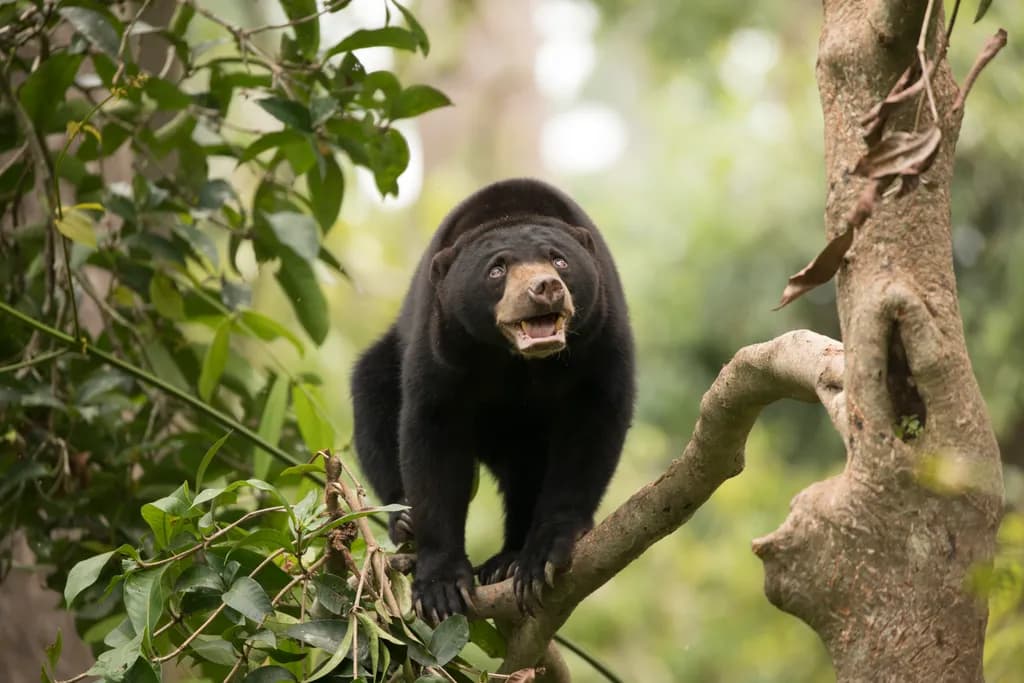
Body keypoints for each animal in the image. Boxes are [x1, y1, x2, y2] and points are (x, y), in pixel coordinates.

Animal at [350, 178, 635, 622]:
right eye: (496, 270)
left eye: (559, 261)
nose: (545, 288)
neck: (519, 363)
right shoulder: (442, 347)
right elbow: (432, 442)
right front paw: (441, 588)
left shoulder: (601, 339)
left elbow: (591, 430)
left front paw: (542, 557)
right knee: (372, 397)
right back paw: (405, 521)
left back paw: (507, 560)